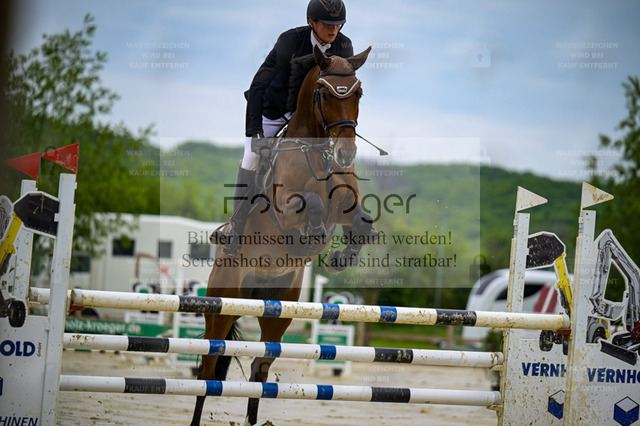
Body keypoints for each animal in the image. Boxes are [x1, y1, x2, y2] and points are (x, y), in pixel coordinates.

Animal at [191, 45, 374, 425]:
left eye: (359, 94)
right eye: (324, 94)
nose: (346, 153)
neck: (316, 151)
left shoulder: (345, 200)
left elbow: (361, 221)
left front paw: (341, 257)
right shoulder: (285, 209)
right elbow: (313, 204)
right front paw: (314, 235)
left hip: (277, 310)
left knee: (260, 367)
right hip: (222, 306)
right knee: (208, 369)